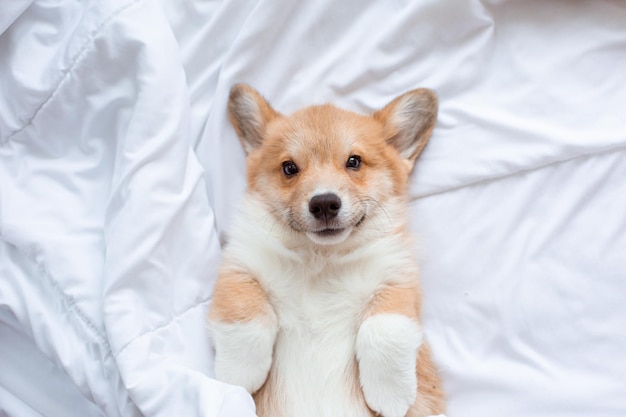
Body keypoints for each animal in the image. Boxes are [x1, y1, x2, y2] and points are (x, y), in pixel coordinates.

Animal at [207, 85, 442, 416]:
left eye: (354, 161)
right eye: (289, 168)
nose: (324, 203)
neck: (320, 258)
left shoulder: (396, 280)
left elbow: (383, 330)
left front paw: (390, 394)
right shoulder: (240, 268)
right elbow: (245, 315)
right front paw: (239, 374)